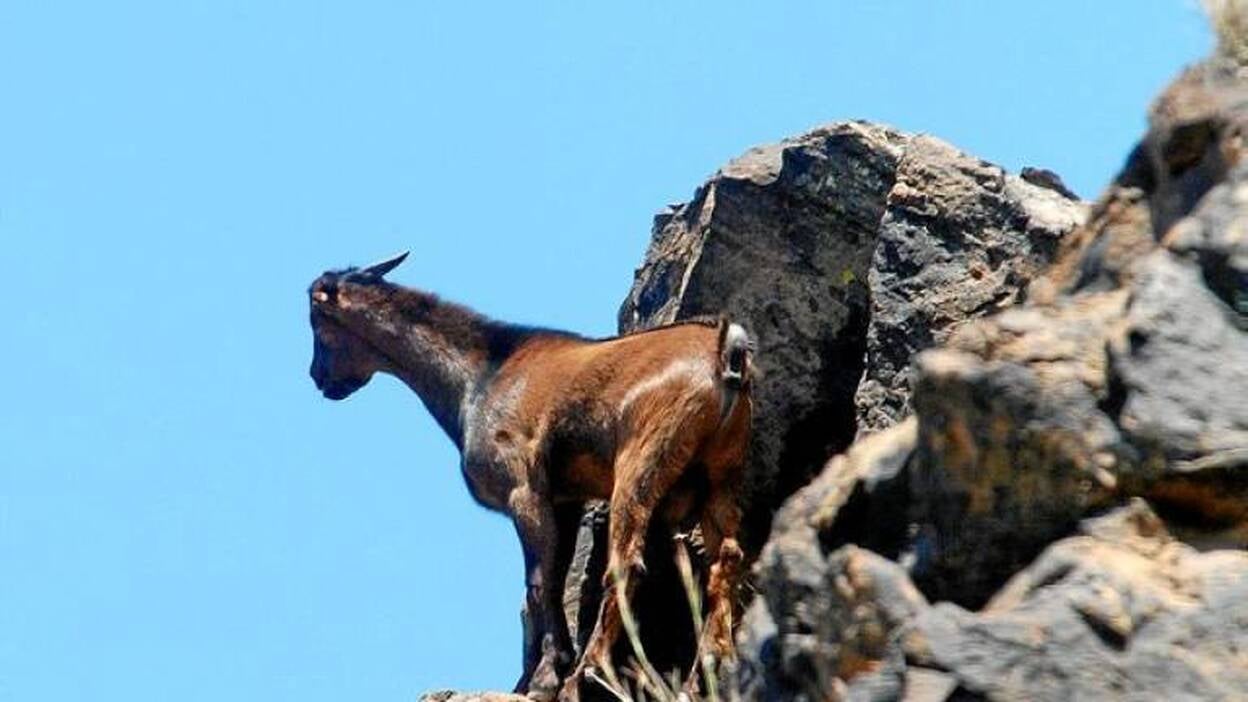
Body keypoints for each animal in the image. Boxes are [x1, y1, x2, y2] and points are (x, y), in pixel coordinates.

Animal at [307, 252, 753, 700]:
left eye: (316, 322)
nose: (319, 378)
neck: (479, 376)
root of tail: (723, 352)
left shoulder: (524, 490)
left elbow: (539, 583)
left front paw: (546, 677)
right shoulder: (565, 499)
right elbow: (552, 578)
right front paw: (534, 675)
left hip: (641, 457)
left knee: (627, 563)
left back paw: (585, 673)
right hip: (723, 471)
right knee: (727, 558)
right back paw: (705, 674)